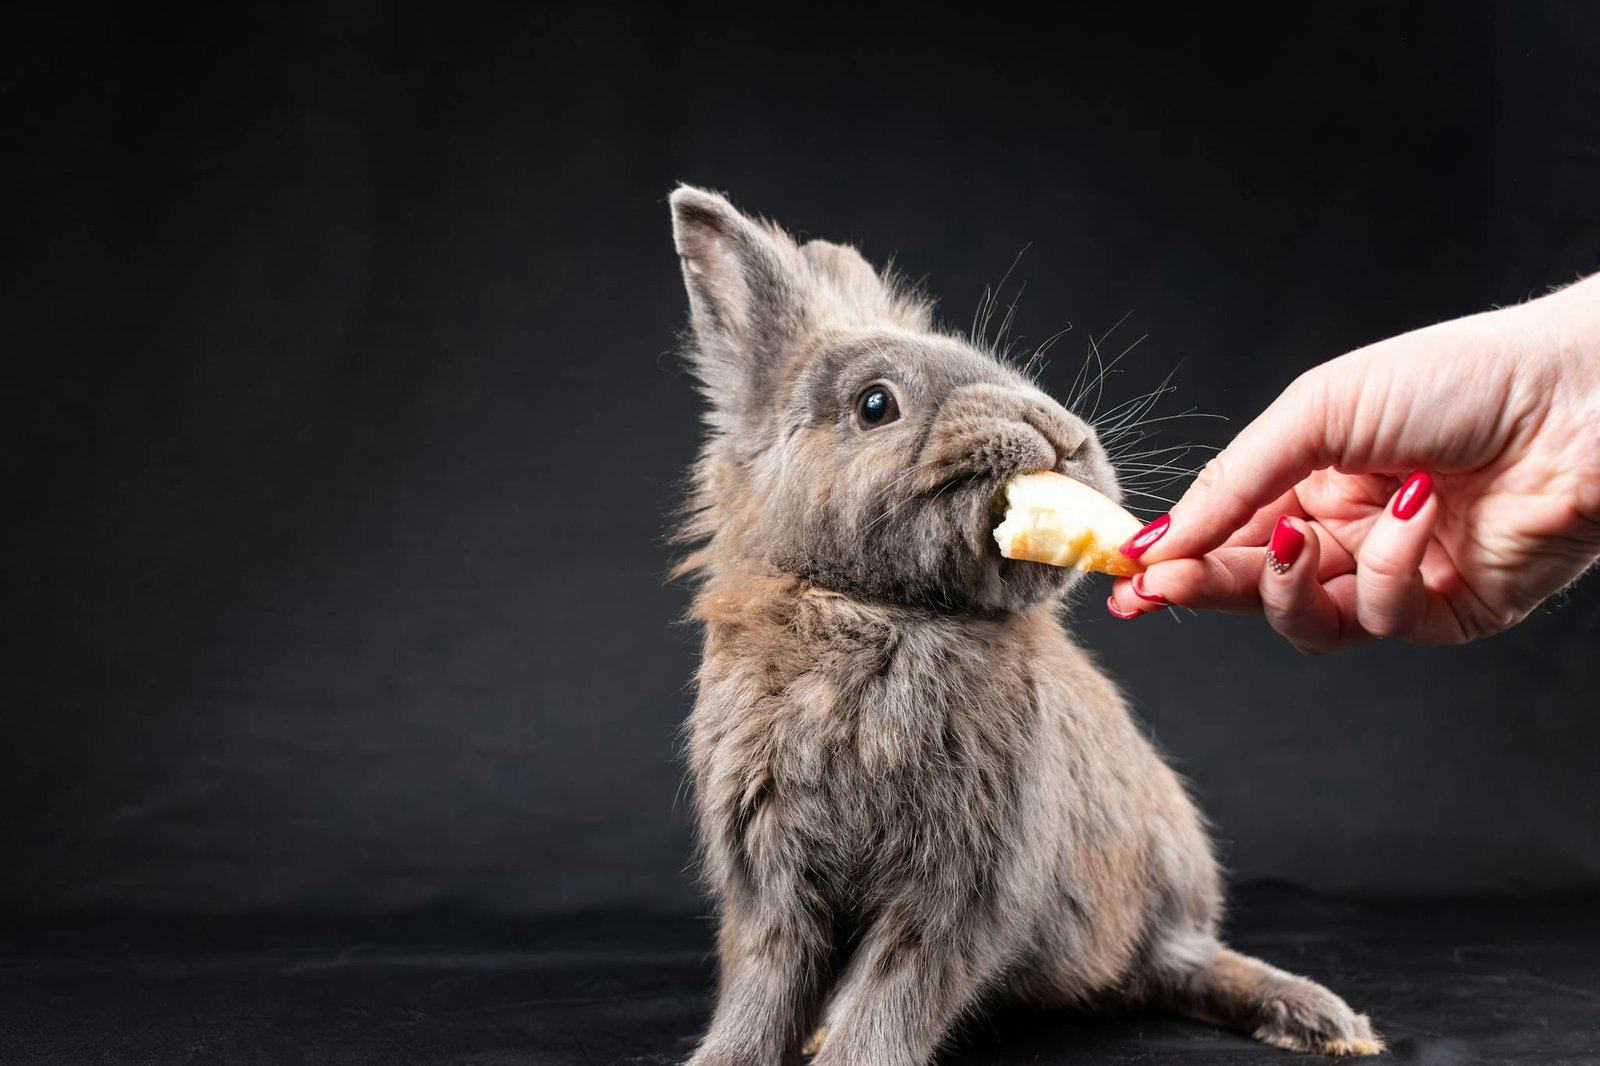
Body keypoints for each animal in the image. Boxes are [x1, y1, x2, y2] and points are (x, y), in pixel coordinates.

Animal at [666, 185, 1382, 1066]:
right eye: (875, 405)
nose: (1064, 437)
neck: (884, 611)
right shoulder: (768, 876)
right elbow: (764, 985)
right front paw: (728, 1058)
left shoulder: (963, 881)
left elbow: (893, 993)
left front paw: (851, 1053)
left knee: (1189, 962)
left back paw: (1325, 1022)